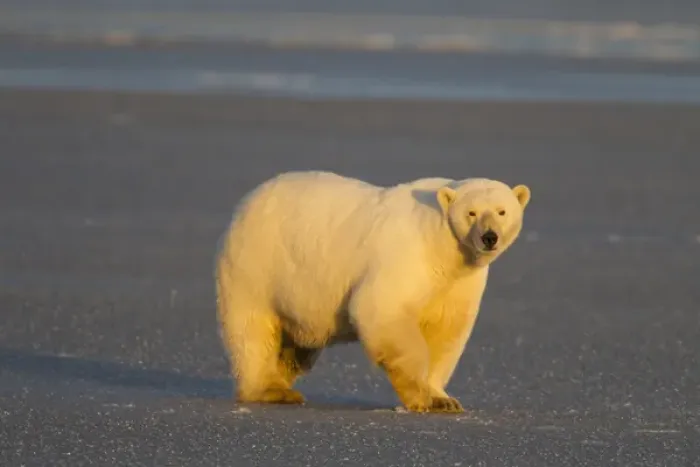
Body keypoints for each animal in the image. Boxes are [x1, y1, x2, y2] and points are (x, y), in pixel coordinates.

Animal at [215, 170, 531, 413]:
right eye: (471, 213)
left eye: (502, 211)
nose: (489, 237)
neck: (441, 243)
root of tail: (246, 202)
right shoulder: (409, 255)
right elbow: (382, 310)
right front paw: (421, 397)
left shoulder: (459, 281)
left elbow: (446, 331)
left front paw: (444, 399)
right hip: (256, 266)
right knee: (252, 330)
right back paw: (271, 389)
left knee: (298, 344)